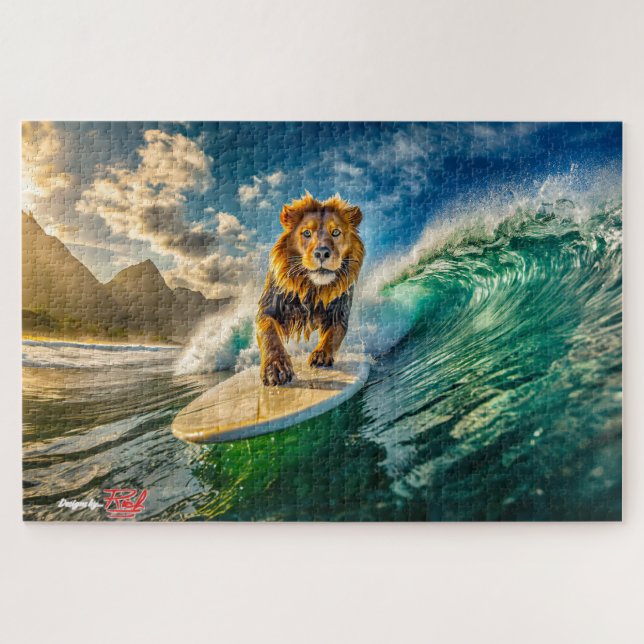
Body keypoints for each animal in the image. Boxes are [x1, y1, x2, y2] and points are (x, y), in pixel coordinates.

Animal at [256, 192, 365, 386]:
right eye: (306, 233)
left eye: (336, 232)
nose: (322, 252)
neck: (313, 288)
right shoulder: (269, 307)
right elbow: (268, 332)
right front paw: (275, 368)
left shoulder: (340, 312)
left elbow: (334, 334)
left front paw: (320, 354)